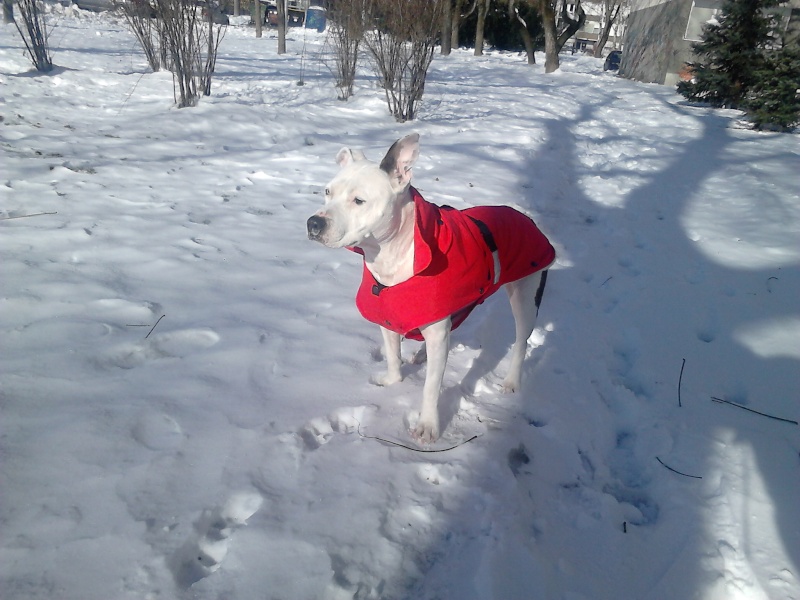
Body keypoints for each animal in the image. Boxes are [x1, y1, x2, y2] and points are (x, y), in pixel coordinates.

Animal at [308, 134, 556, 440]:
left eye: (359, 200)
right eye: (327, 192)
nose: (313, 222)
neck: (393, 255)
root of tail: (525, 217)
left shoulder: (438, 332)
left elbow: (430, 386)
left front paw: (428, 425)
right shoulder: (389, 318)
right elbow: (393, 356)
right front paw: (393, 381)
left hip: (526, 295)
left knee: (521, 340)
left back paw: (511, 381)